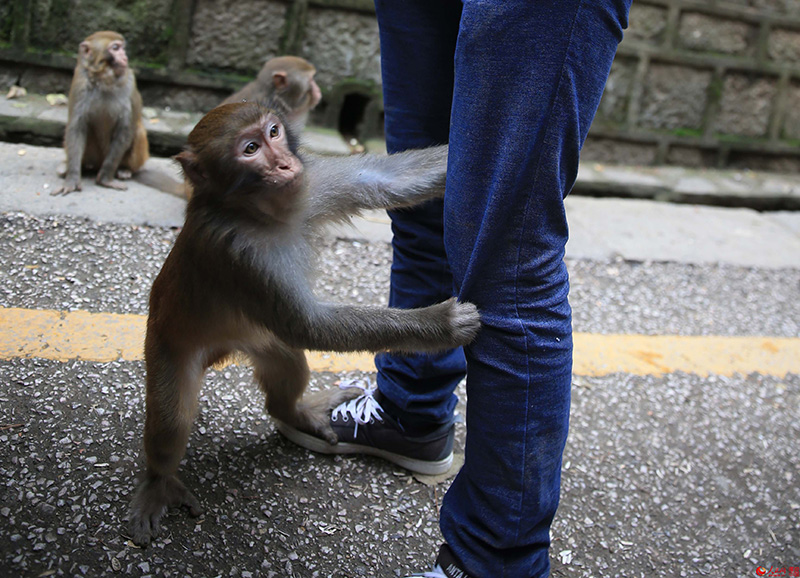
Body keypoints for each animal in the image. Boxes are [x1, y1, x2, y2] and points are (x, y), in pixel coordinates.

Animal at [53, 31, 150, 196]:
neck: (104, 79)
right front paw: (72, 179)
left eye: (122, 48)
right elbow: (76, 128)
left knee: (138, 131)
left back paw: (125, 169)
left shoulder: (130, 82)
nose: (125, 56)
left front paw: (106, 179)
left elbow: (125, 130)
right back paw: (76, 167)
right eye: (115, 48)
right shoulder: (80, 83)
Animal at [130, 101, 482, 544]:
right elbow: (308, 325)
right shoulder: (237, 255)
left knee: (286, 366)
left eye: (274, 133)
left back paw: (294, 412)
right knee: (171, 423)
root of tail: (220, 352)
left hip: (260, 343)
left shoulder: (311, 180)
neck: (258, 212)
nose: (283, 163)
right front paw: (440, 322)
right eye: (250, 149)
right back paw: (159, 481)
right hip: (166, 346)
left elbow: (388, 179)